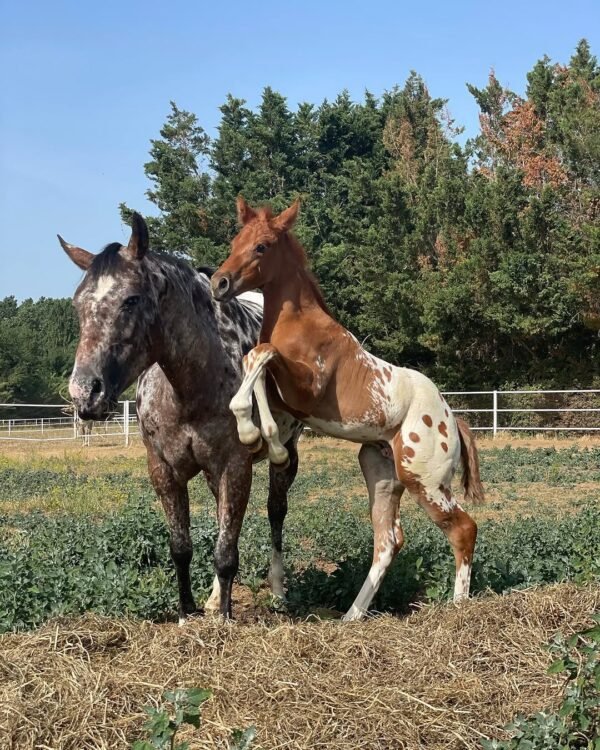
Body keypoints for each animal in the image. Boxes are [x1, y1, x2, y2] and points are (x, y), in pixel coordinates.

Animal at [58, 212, 302, 620]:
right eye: (78, 304)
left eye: (132, 300)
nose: (84, 393)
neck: (190, 386)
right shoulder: (163, 469)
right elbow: (182, 547)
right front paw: (189, 611)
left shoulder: (235, 466)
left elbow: (226, 552)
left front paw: (224, 618)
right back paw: (215, 597)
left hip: (286, 456)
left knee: (276, 513)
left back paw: (278, 590)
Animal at [211, 197, 484, 621]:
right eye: (235, 241)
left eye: (262, 246)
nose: (219, 284)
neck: (300, 323)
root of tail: (453, 422)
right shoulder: (282, 395)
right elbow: (253, 370)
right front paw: (259, 437)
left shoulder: (306, 388)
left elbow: (261, 355)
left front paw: (261, 438)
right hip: (381, 474)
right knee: (389, 541)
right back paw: (351, 616)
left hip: (425, 480)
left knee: (463, 529)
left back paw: (458, 608)